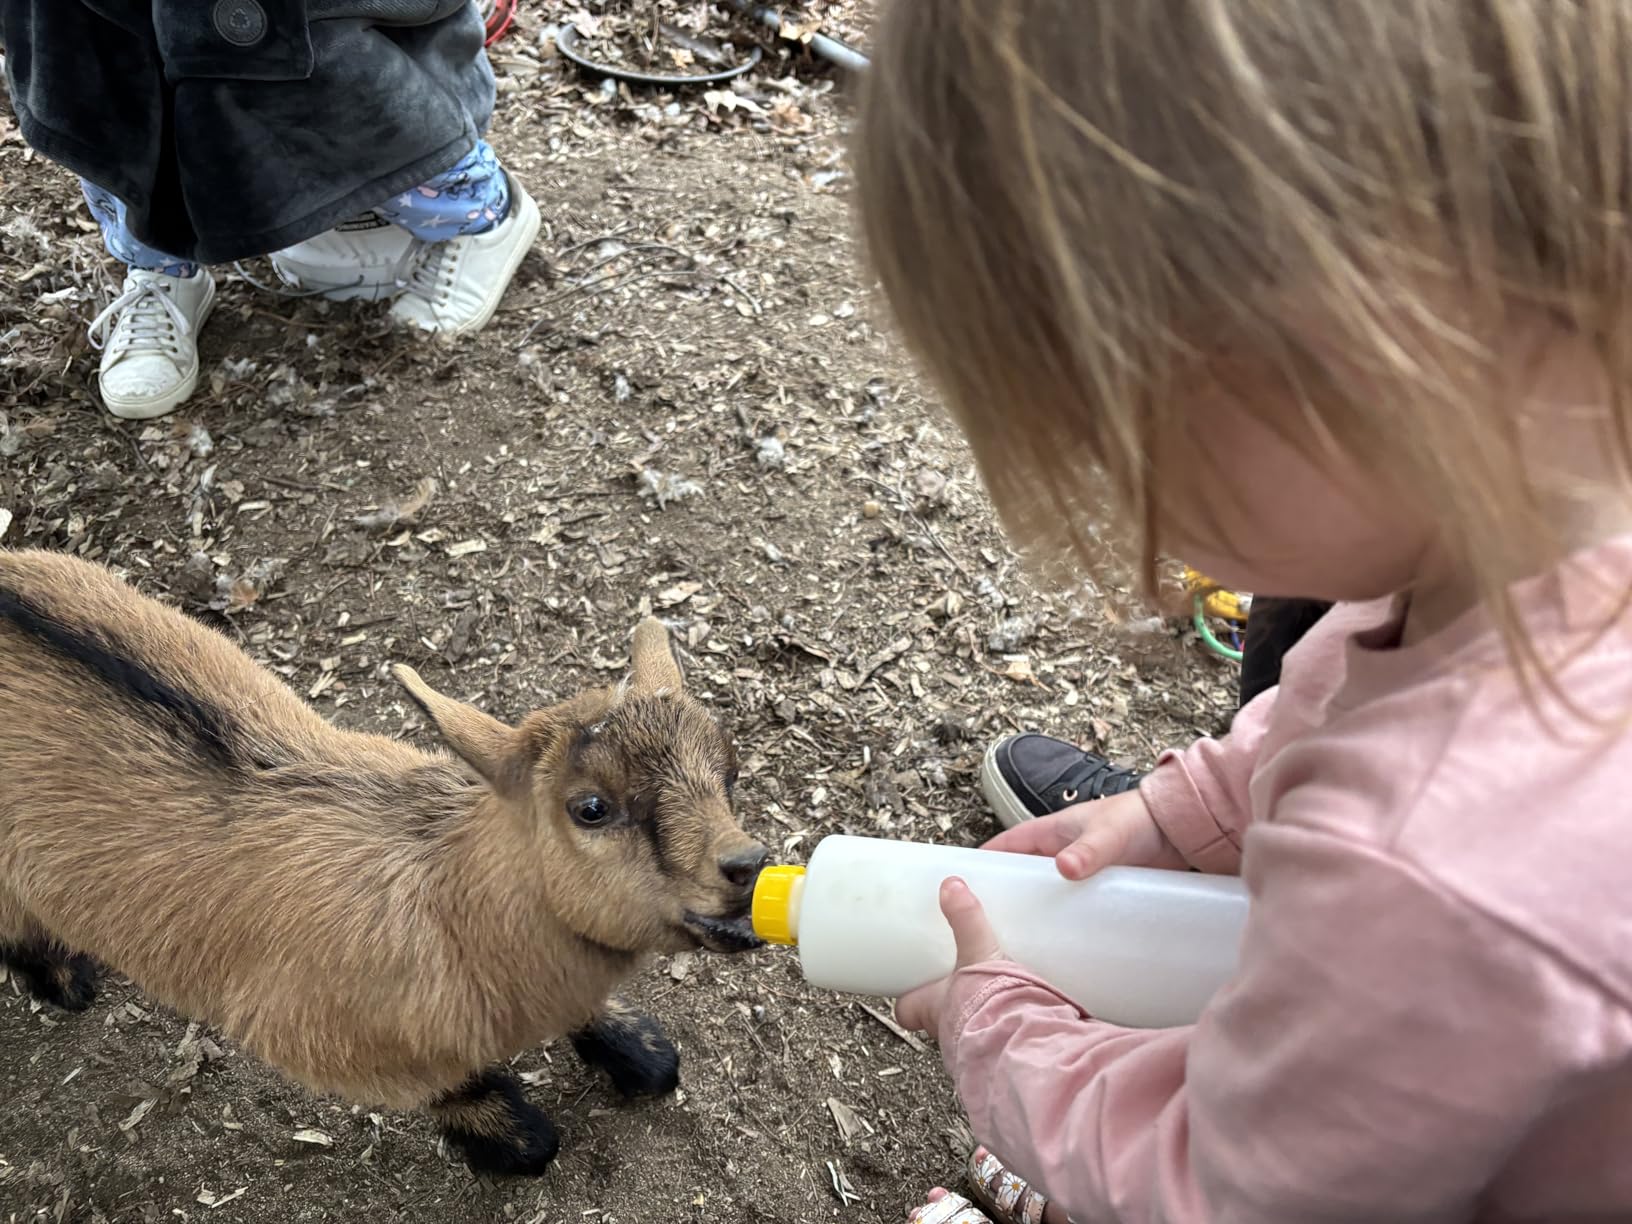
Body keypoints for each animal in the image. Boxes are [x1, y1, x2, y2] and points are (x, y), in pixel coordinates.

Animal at [0, 548, 769, 1175]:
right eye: (590, 808)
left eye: (729, 771)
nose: (747, 865)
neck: (445, 907)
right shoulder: (329, 1042)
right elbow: (463, 1093)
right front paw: (512, 1138)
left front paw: (635, 1048)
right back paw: (60, 977)